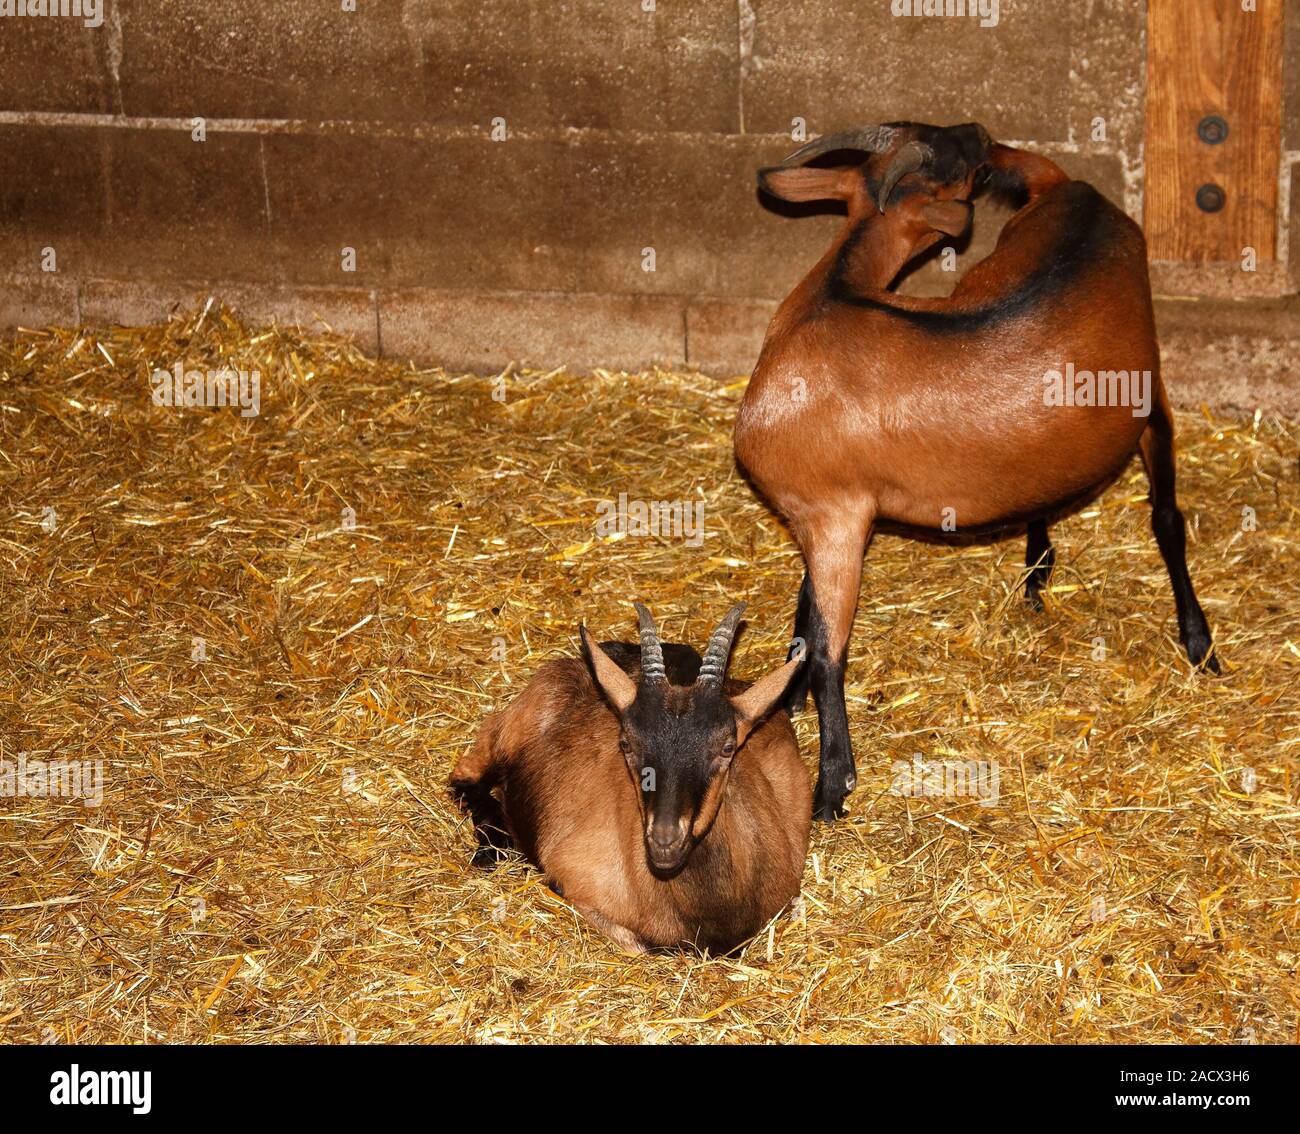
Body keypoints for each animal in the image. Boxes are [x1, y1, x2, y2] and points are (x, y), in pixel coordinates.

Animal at [743, 119, 1216, 821]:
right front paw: (791, 697)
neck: (828, 303)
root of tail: (1070, 187)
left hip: (1150, 395)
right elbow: (808, 619)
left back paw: (1199, 642)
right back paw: (1038, 570)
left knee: (1166, 518)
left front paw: (832, 785)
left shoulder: (836, 518)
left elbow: (828, 650)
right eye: (949, 160)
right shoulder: (821, 522)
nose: (981, 134)